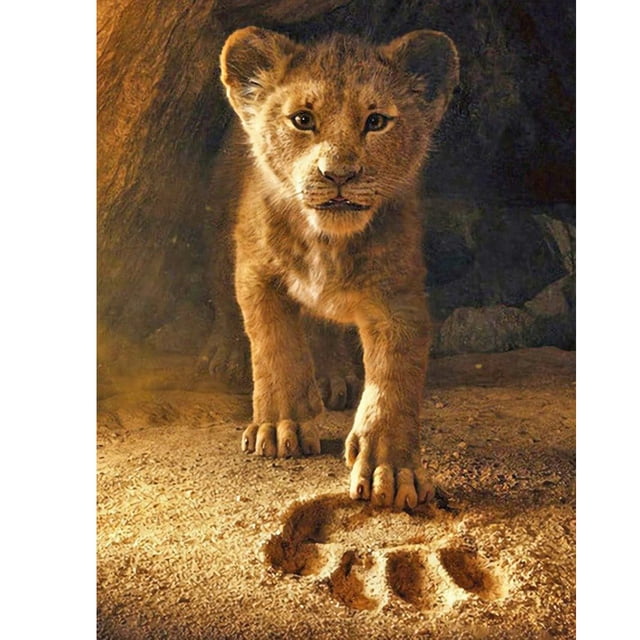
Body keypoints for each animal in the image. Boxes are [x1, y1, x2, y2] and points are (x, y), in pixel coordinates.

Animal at [211, 26, 459, 509]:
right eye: (302, 120)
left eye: (376, 121)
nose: (338, 174)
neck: (327, 242)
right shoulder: (256, 271)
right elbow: (275, 346)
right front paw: (280, 426)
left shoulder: (397, 297)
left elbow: (394, 379)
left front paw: (390, 469)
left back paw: (332, 376)